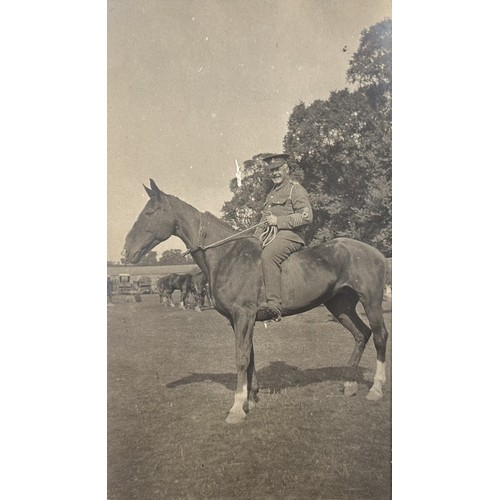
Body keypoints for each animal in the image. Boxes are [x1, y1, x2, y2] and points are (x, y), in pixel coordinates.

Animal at [124, 180, 390, 422]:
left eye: (149, 213)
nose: (126, 251)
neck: (227, 256)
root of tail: (375, 252)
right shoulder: (239, 320)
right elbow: (250, 355)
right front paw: (250, 397)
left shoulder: (243, 315)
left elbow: (241, 357)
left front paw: (236, 408)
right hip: (340, 306)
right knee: (361, 334)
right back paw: (349, 384)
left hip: (371, 302)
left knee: (379, 336)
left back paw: (376, 389)